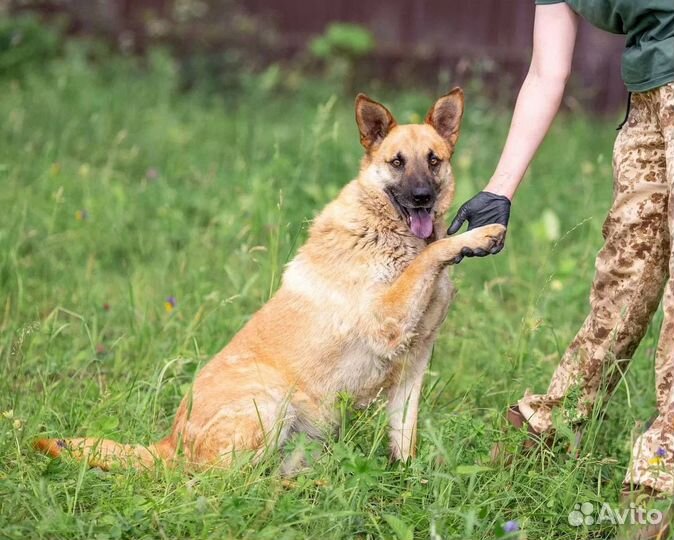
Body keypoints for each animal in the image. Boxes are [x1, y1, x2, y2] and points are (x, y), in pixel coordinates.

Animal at [34, 89, 502, 472]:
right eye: (397, 162)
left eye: (433, 160)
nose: (422, 197)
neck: (388, 231)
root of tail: (168, 443)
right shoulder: (388, 317)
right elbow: (430, 256)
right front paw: (474, 237)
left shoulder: (414, 362)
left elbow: (404, 438)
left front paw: (407, 483)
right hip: (273, 402)